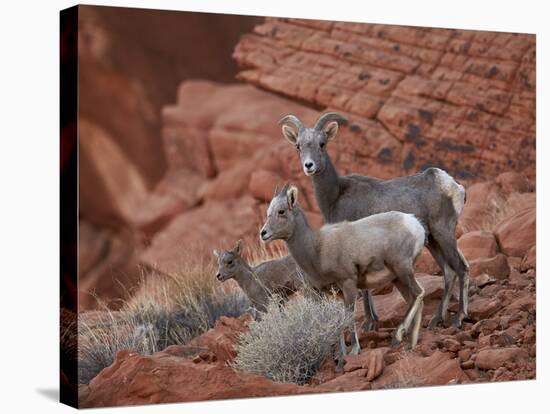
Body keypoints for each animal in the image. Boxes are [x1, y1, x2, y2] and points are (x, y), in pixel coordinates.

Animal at [262, 184, 426, 368]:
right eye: (268, 212)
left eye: (281, 211)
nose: (263, 233)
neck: (317, 249)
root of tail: (415, 224)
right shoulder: (334, 294)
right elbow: (337, 322)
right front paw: (340, 359)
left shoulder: (348, 285)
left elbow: (348, 318)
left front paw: (354, 351)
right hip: (398, 278)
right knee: (414, 299)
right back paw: (411, 344)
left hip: (403, 270)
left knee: (419, 293)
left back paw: (398, 336)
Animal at [284, 113, 470, 330]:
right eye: (298, 146)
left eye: (322, 144)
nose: (309, 166)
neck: (336, 195)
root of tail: (453, 185)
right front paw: (373, 320)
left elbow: (364, 289)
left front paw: (368, 323)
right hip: (432, 240)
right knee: (449, 272)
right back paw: (436, 320)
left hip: (443, 233)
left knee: (461, 268)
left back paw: (458, 318)